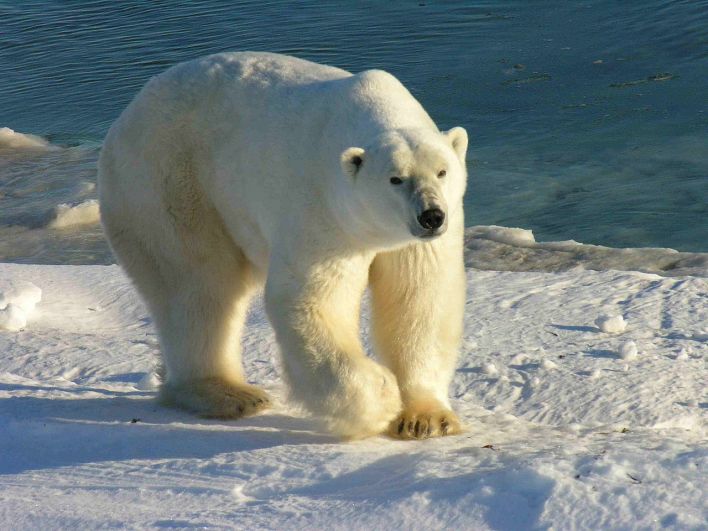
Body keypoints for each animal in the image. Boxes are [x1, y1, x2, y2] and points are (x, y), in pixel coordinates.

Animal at [97, 52, 468, 440]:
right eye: (395, 179)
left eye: (442, 171)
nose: (431, 216)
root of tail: (127, 115)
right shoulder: (324, 211)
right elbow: (312, 299)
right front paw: (381, 397)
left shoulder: (419, 240)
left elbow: (420, 298)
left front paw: (426, 419)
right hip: (167, 182)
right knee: (196, 283)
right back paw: (229, 393)